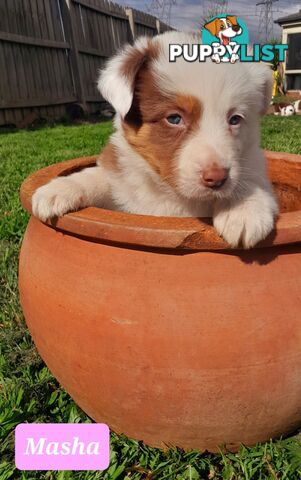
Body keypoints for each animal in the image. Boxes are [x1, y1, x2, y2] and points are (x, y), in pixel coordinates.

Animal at [32, 31, 276, 248]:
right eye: (174, 118)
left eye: (235, 119)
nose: (217, 178)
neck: (170, 192)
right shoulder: (122, 182)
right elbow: (99, 177)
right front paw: (59, 189)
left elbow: (251, 179)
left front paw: (242, 209)